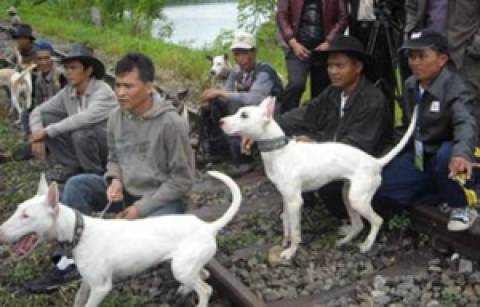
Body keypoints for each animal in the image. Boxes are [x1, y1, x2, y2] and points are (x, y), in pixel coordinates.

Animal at [0, 171, 242, 307]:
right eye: (17, 209)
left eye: (26, 216)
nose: (0, 233)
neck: (80, 232)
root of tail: (208, 226)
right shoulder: (88, 283)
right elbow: (78, 301)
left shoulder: (101, 287)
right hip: (183, 265)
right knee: (204, 274)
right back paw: (183, 290)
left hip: (181, 267)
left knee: (206, 289)